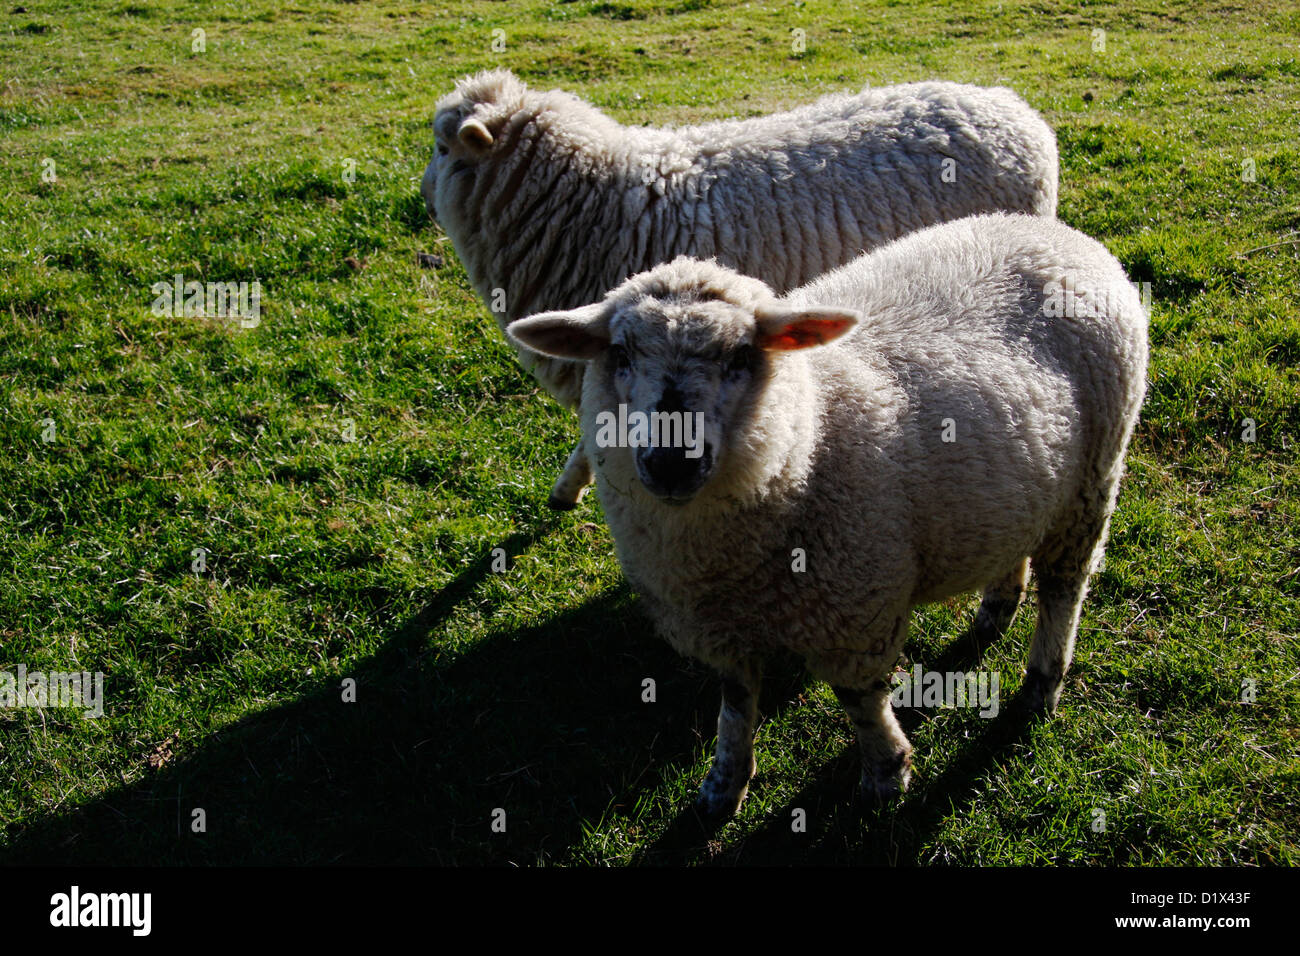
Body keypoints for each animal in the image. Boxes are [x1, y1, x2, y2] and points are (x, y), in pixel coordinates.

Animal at [506, 210, 1149, 816]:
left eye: (742, 354)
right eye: (619, 353)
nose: (670, 461)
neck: (808, 432)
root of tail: (1054, 232)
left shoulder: (852, 611)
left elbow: (860, 702)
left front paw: (886, 775)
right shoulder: (718, 628)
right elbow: (735, 704)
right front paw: (723, 785)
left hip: (1094, 477)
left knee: (1064, 587)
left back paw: (1041, 685)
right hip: (1018, 484)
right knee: (1014, 547)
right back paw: (995, 608)